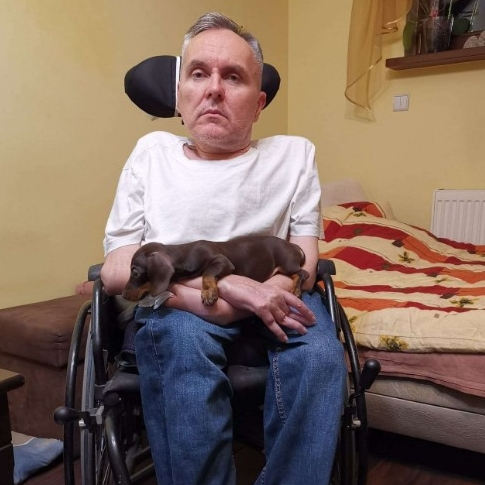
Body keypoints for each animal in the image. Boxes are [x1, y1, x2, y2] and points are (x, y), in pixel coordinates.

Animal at [122, 236, 309, 307]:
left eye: (135, 272)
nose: (123, 295)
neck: (185, 253)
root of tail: (294, 246)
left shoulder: (222, 261)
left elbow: (207, 274)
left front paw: (208, 293)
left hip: (287, 263)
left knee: (302, 273)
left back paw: (296, 289)